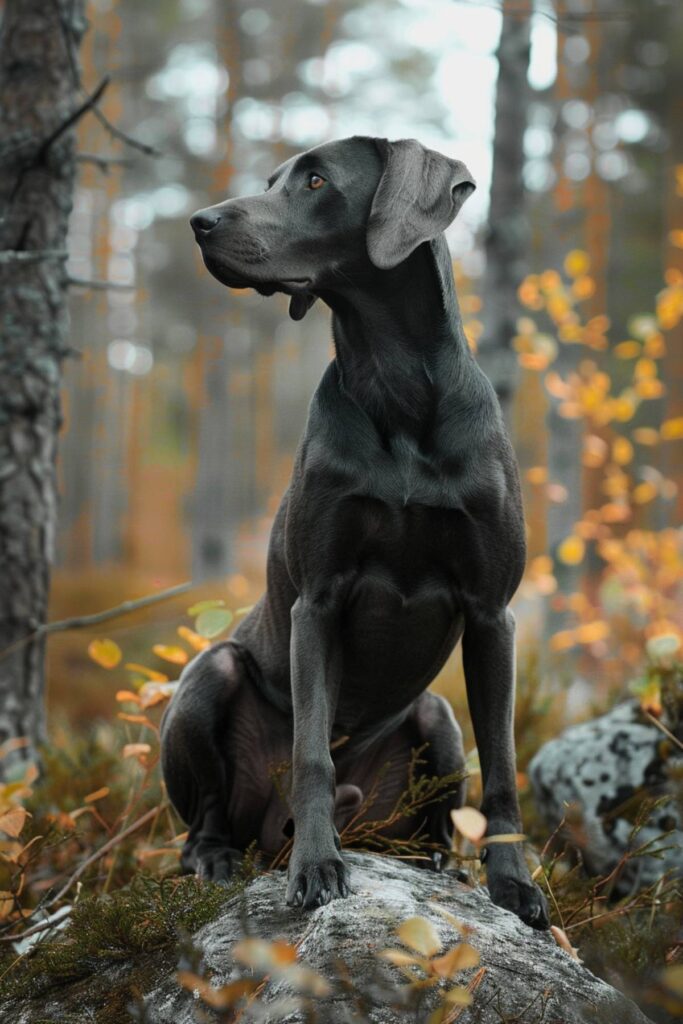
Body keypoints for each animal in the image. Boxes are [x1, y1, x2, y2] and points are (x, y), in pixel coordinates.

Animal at [162, 134, 552, 929]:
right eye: (271, 180)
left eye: (315, 181)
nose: (199, 222)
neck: (394, 381)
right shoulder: (317, 599)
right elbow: (313, 753)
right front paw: (316, 868)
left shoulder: (492, 614)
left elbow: (502, 766)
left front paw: (513, 885)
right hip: (210, 677)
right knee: (204, 819)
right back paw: (220, 857)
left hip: (436, 720)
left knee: (436, 803)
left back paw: (435, 862)